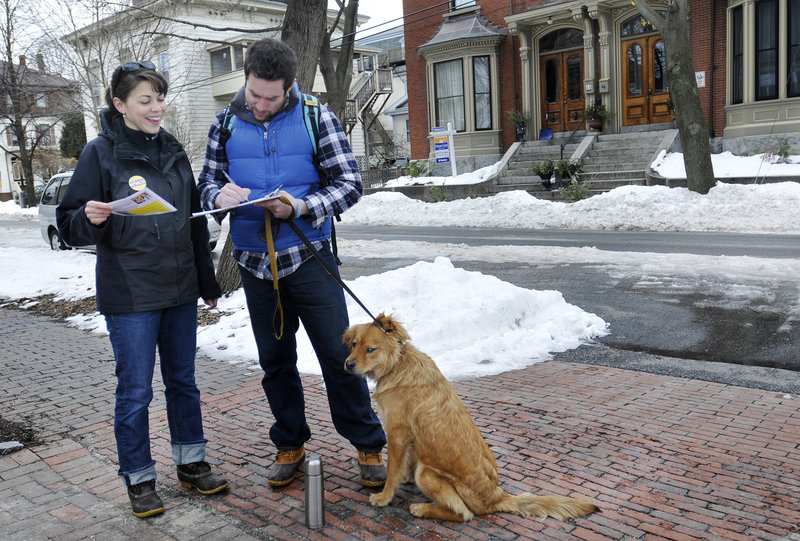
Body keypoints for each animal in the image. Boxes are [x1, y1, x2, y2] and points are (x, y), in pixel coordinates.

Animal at [340, 314, 596, 520]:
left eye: (370, 349)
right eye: (354, 344)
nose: (347, 365)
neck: (397, 365)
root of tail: (496, 497)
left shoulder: (396, 433)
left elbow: (392, 470)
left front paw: (384, 497)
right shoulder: (411, 437)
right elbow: (405, 462)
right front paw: (405, 478)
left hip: (428, 473)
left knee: (465, 514)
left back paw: (422, 509)